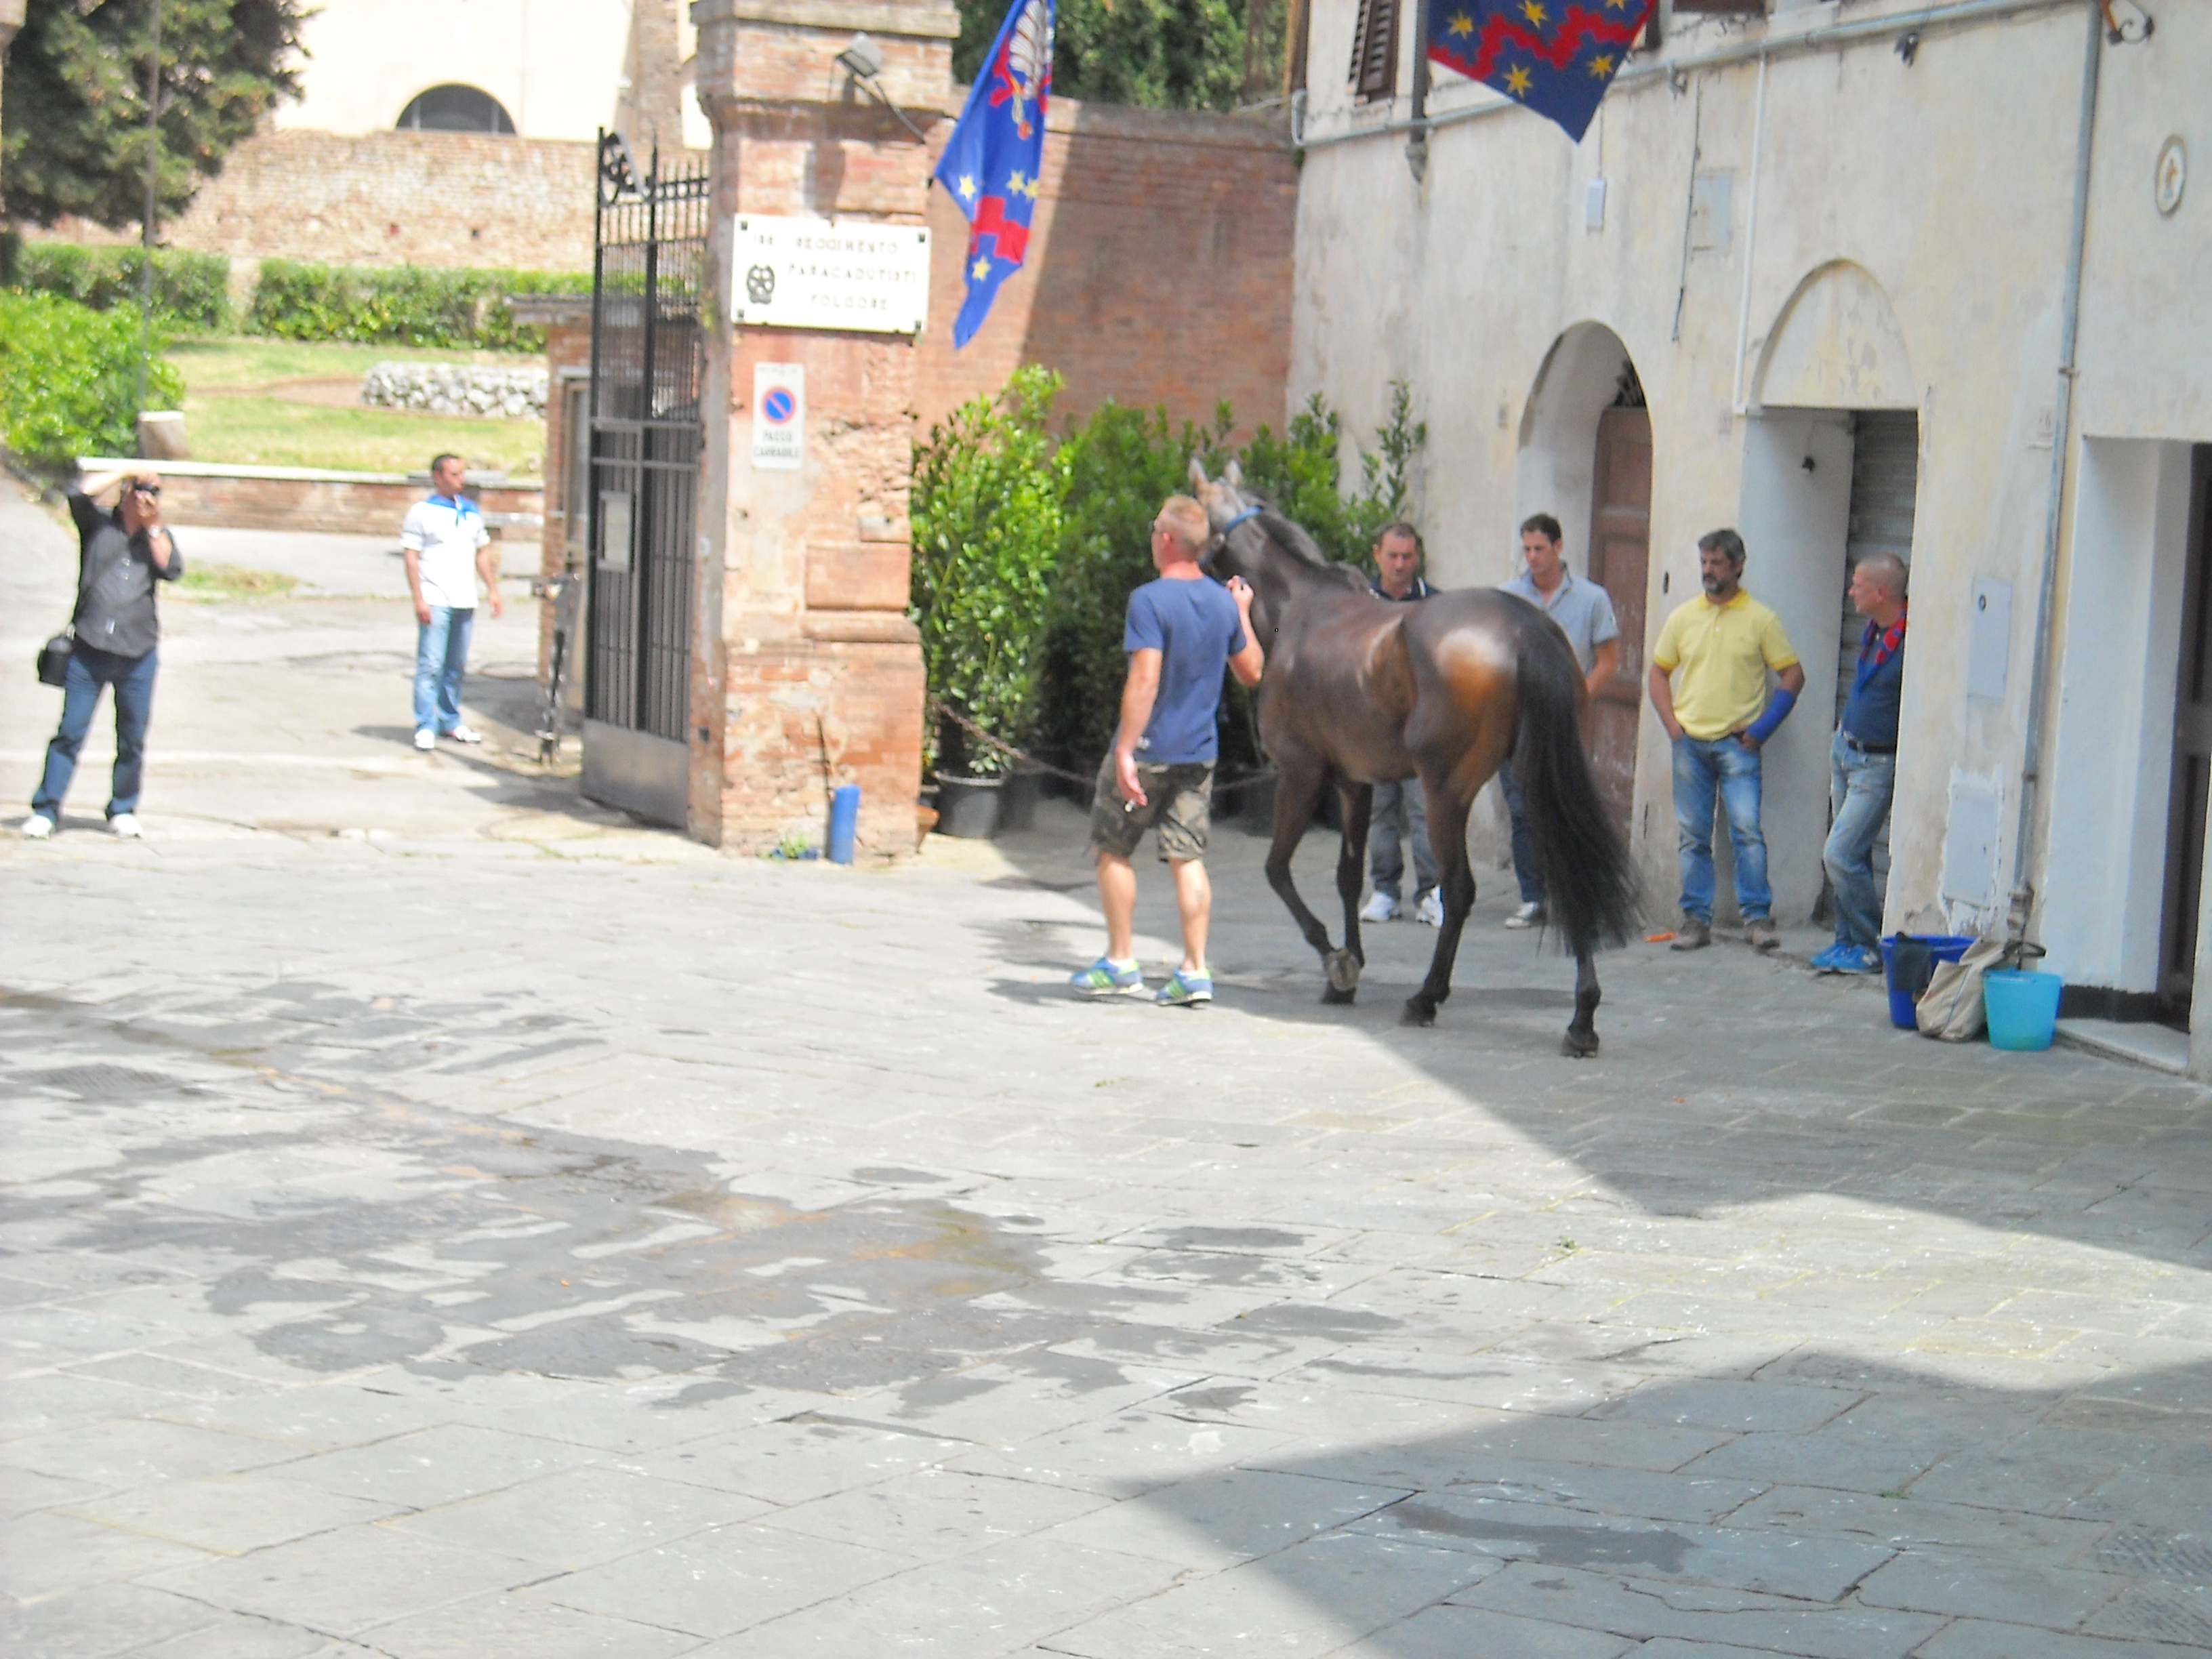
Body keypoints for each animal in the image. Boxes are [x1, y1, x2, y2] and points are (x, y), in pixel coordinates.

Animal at [1188, 458, 1640, 1057]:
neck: (1301, 607)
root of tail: (1525, 626)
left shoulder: (1301, 774)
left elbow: (1278, 870)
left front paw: (1336, 961)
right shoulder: (1353, 783)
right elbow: (1349, 876)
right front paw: (1348, 970)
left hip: (1446, 791)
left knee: (1460, 888)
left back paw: (1427, 997)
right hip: (1542, 780)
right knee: (1569, 871)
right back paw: (1582, 1018)